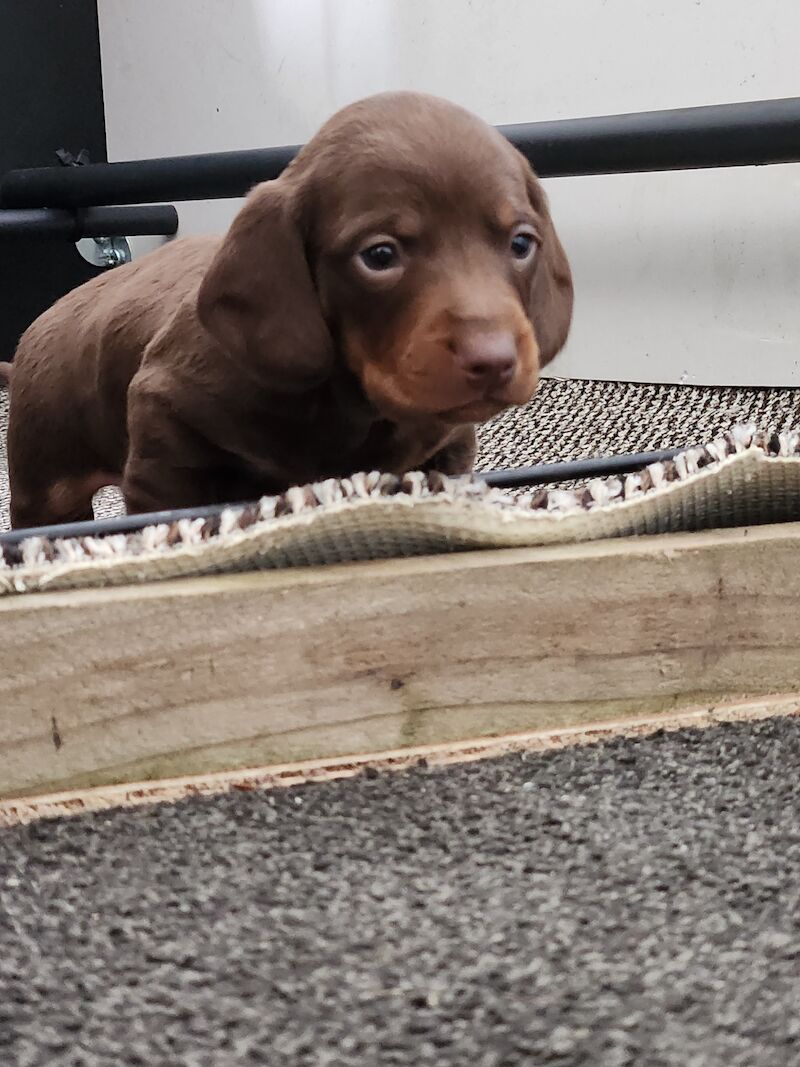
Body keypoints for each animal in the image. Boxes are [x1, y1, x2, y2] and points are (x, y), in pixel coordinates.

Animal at [3, 92, 571, 529]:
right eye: (379, 256)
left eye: (521, 244)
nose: (494, 361)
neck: (350, 404)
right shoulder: (163, 432)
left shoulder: (446, 449)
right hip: (46, 484)